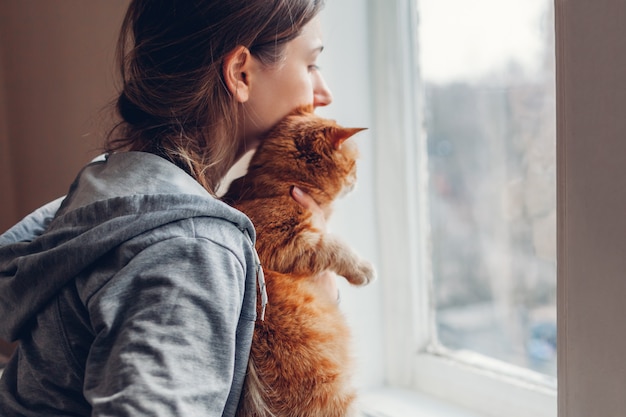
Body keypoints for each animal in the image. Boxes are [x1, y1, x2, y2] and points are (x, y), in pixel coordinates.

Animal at [222, 105, 372, 414]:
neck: (277, 183)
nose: (357, 180)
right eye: (353, 165)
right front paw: (362, 268)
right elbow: (334, 246)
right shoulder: (283, 243)